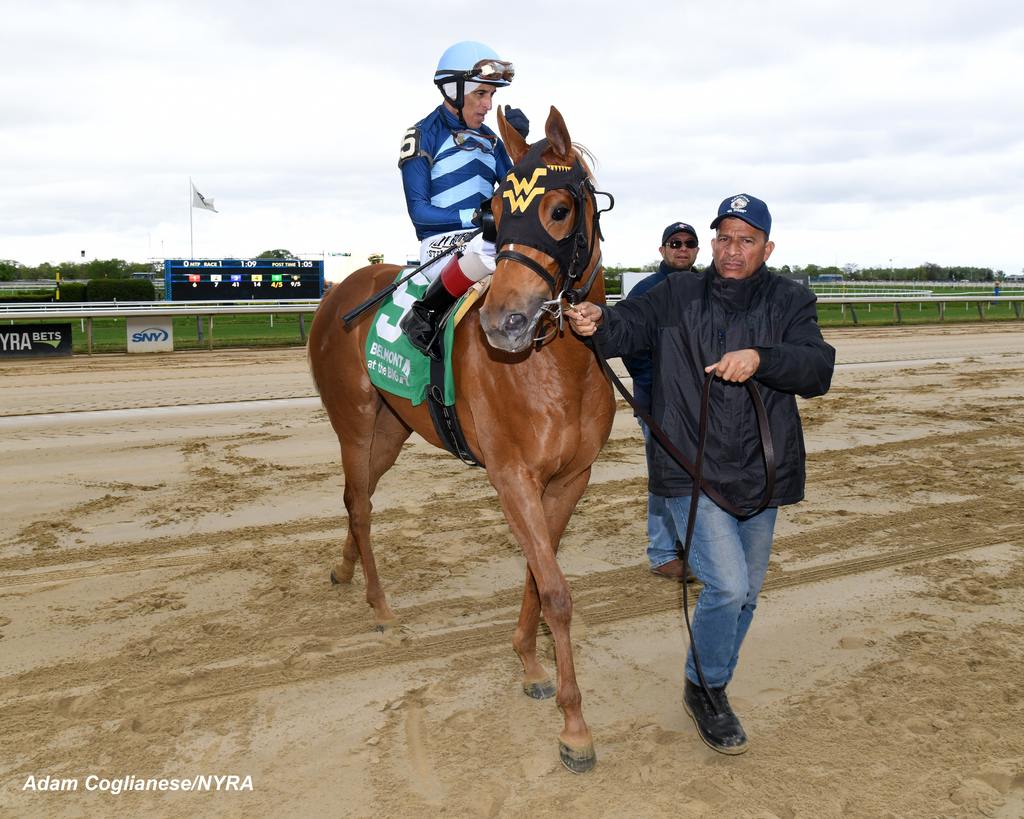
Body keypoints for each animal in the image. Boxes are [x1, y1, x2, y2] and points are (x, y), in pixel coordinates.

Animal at [307, 105, 610, 769]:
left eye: (559, 209)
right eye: (493, 215)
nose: (503, 322)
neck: (557, 369)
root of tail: (340, 290)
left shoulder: (570, 478)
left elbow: (538, 572)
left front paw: (529, 664)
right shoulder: (511, 475)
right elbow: (555, 589)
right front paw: (575, 727)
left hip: (392, 431)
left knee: (354, 497)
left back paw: (343, 571)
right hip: (355, 421)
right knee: (360, 505)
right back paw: (381, 607)